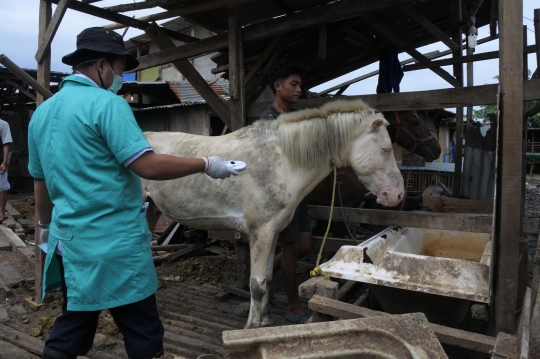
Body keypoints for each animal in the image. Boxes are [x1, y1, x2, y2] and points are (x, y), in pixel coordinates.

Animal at [141, 100, 402, 330]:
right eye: (386, 149)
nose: (398, 195)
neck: (281, 161)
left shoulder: (273, 233)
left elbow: (266, 279)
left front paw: (265, 319)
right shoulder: (261, 233)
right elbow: (256, 285)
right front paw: (252, 327)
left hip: (150, 212)